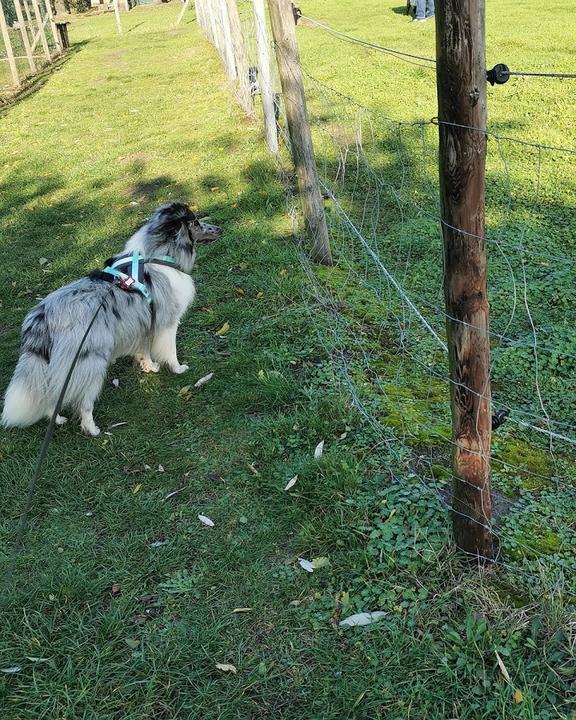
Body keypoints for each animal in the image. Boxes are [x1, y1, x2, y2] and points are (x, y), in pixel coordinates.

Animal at [1, 204, 222, 438]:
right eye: (195, 223)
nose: (221, 229)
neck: (159, 256)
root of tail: (42, 317)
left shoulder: (144, 323)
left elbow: (144, 350)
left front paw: (149, 367)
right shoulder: (167, 323)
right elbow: (170, 351)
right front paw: (178, 369)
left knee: (52, 394)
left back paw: (58, 419)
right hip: (90, 361)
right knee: (84, 402)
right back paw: (92, 429)